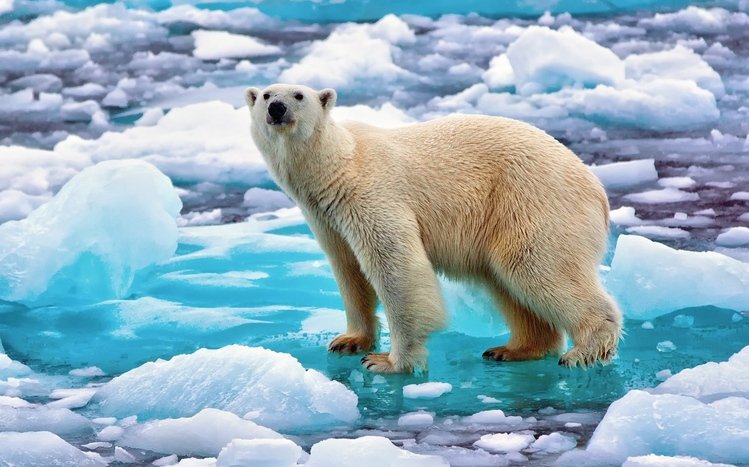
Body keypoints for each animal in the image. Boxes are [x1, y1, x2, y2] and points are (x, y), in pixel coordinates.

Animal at [245, 83, 622, 374]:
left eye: (298, 95)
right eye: (265, 94)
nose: (277, 108)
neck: (338, 165)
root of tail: (596, 188)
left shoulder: (372, 194)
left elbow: (397, 267)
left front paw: (388, 362)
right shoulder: (327, 218)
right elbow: (349, 271)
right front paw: (348, 340)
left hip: (533, 202)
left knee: (536, 267)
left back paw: (583, 351)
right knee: (508, 282)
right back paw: (512, 349)